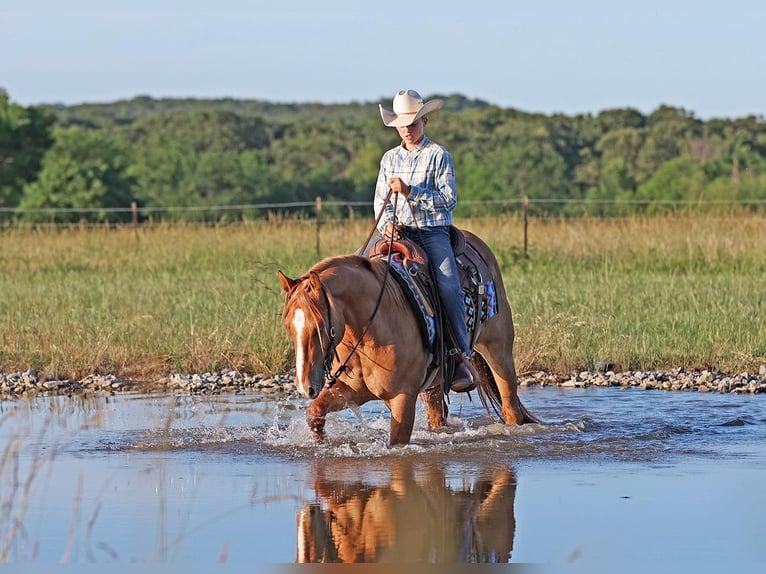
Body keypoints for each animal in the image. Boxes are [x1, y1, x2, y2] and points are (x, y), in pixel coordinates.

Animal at [277, 228, 538, 446]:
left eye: (320, 327)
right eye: (288, 326)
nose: (305, 386)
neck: (369, 330)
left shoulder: (402, 398)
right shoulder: (354, 390)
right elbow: (315, 412)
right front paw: (320, 441)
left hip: (499, 353)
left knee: (511, 407)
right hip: (434, 385)